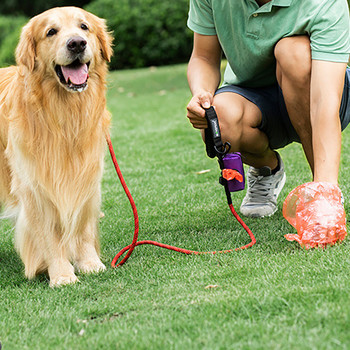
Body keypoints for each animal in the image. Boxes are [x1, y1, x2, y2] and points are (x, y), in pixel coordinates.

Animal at [0, 6, 113, 288]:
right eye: (51, 31)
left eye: (84, 27)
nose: (77, 44)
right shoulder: (35, 186)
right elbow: (49, 235)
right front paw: (61, 274)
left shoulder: (86, 174)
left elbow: (82, 227)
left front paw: (89, 263)